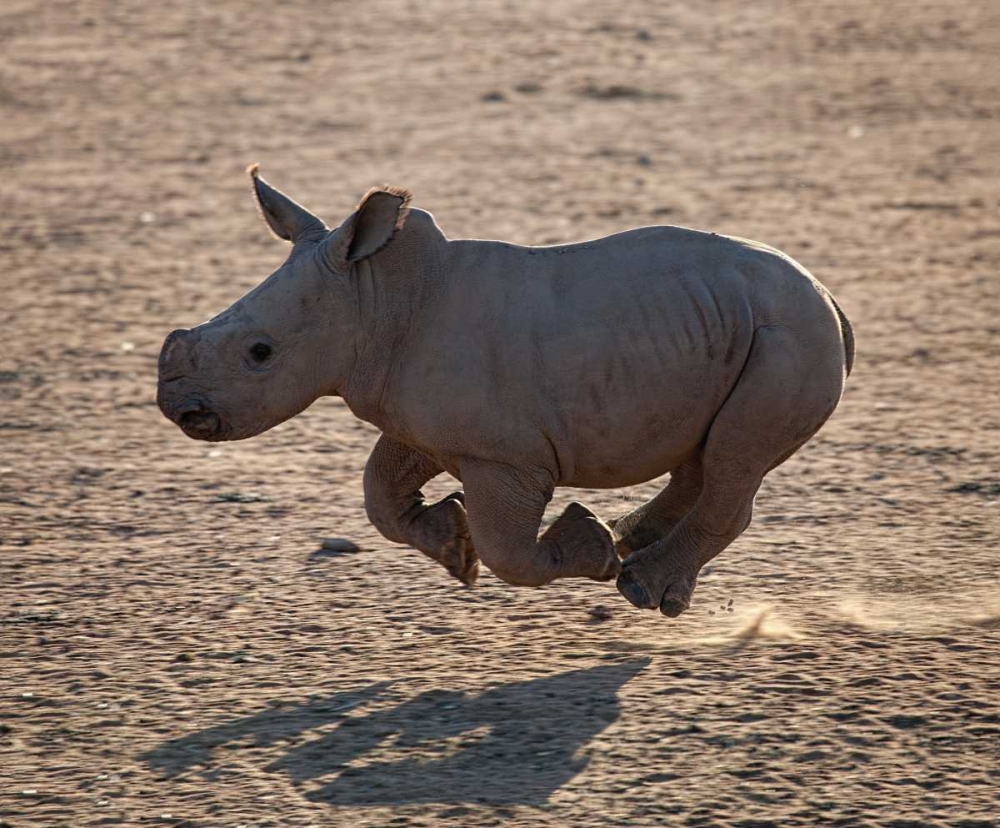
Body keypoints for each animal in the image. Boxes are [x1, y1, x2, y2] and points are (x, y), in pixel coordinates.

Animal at [157, 166, 854, 617]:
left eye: (260, 353)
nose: (178, 408)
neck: (373, 298)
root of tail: (830, 299)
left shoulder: (506, 457)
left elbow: (510, 554)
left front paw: (587, 549)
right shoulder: (425, 424)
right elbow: (379, 493)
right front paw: (453, 548)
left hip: (791, 339)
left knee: (735, 457)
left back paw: (639, 587)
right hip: (734, 332)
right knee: (705, 452)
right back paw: (632, 543)